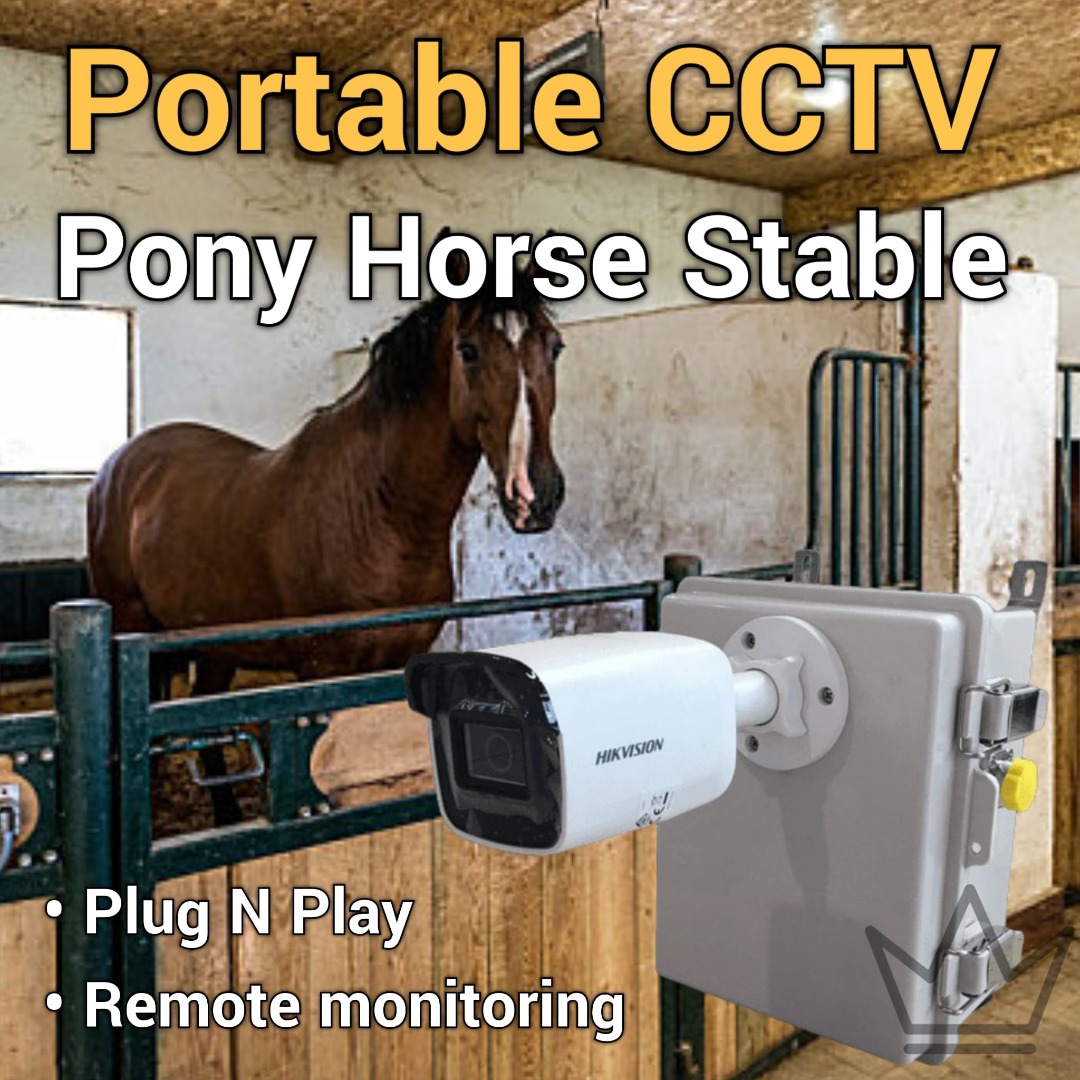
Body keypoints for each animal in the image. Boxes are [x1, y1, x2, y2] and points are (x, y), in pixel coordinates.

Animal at [88, 240, 565, 821]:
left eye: (555, 347)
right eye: (468, 350)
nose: (534, 494)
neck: (378, 513)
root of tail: (122, 463)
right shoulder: (323, 672)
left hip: (214, 641)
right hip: (132, 617)